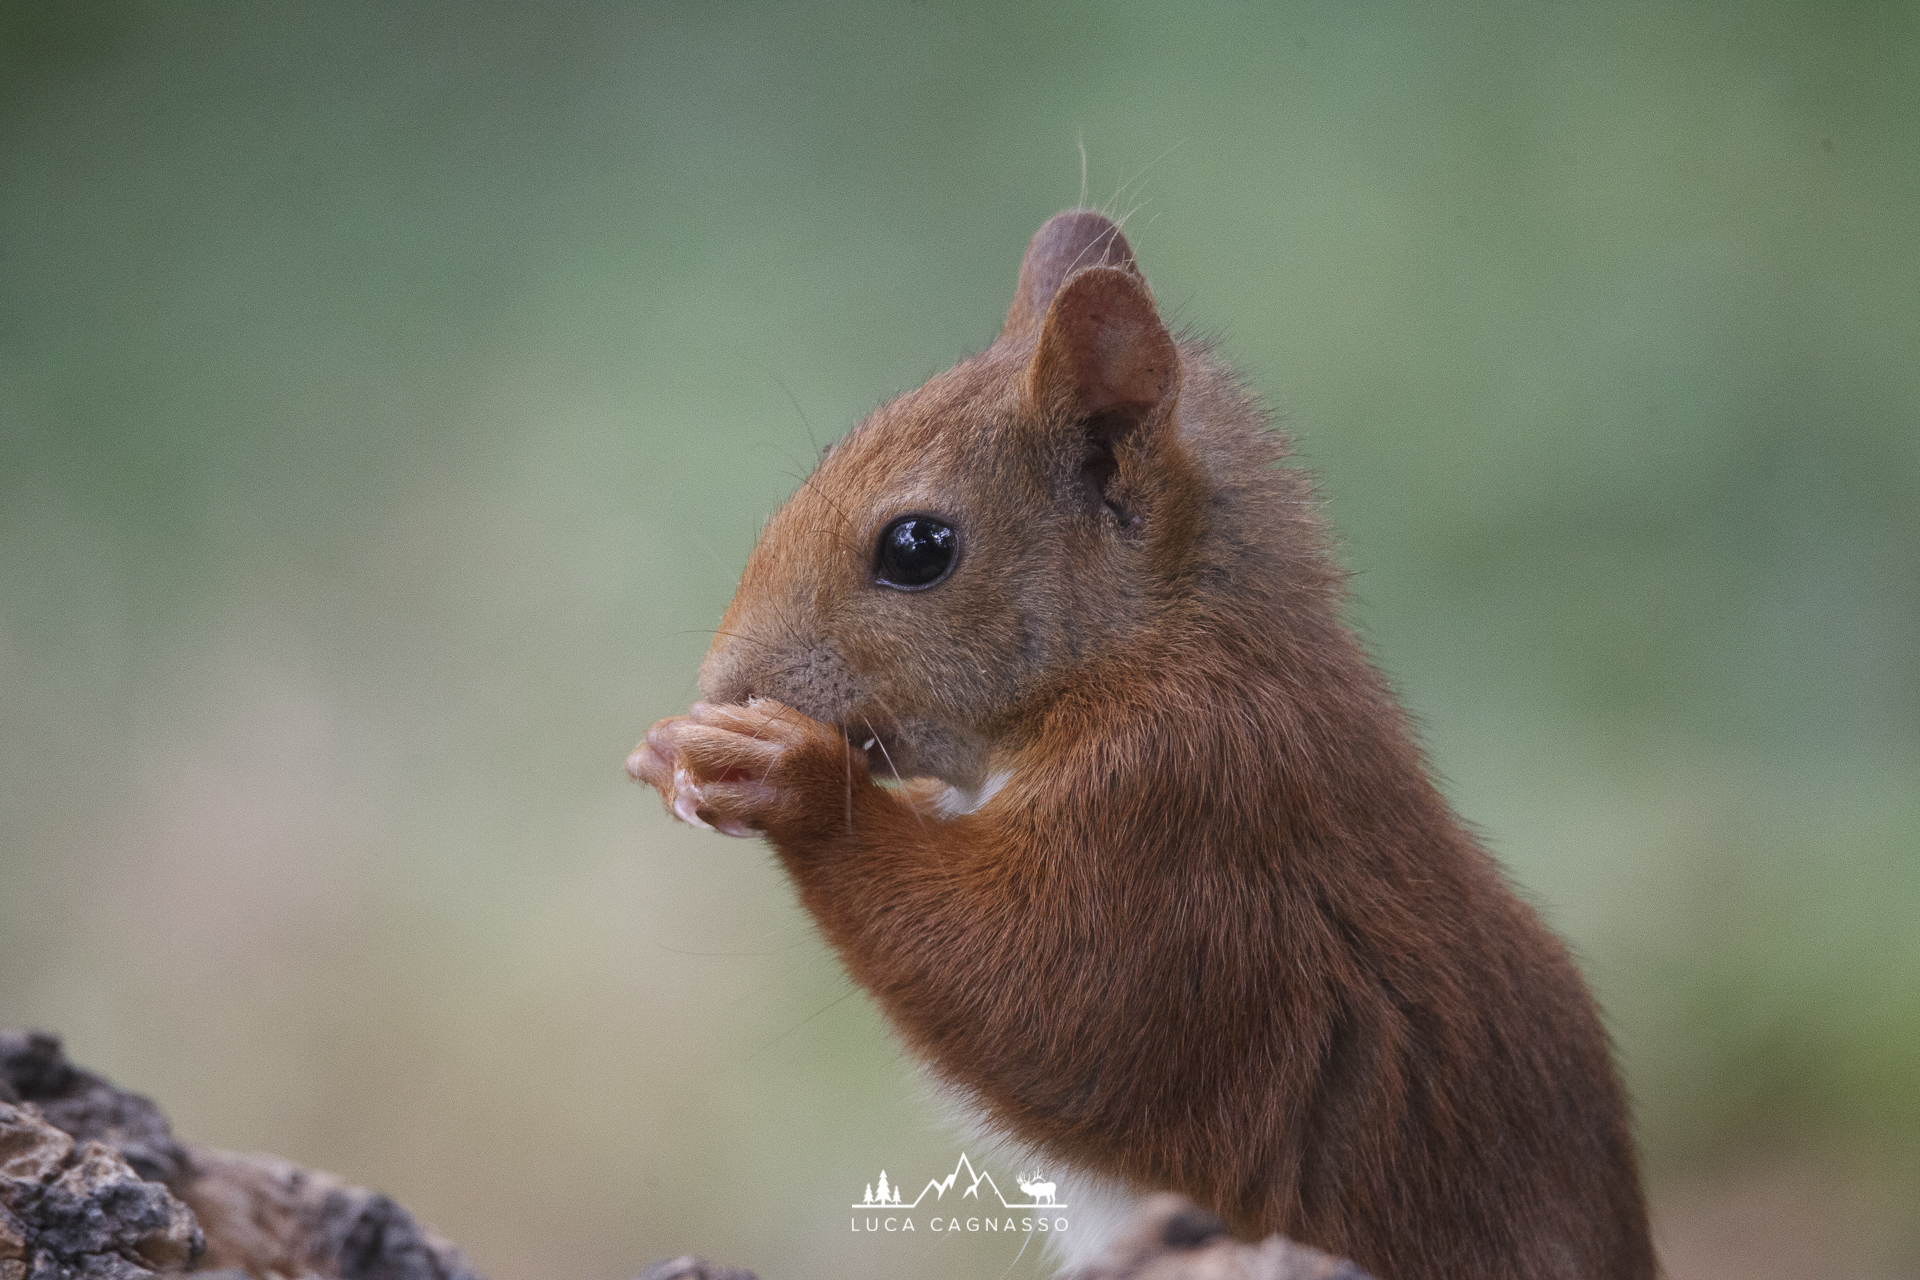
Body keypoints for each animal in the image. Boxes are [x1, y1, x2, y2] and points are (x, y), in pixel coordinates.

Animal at [628, 210, 1656, 1280]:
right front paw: (671, 751)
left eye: (917, 548)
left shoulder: (1178, 811)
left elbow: (1034, 987)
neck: (1152, 646)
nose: (723, 682)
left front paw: (785, 772)